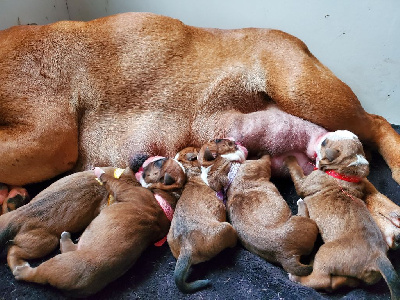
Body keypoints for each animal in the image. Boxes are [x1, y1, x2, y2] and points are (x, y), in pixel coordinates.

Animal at [12, 169, 178, 298]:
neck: (164, 207)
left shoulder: (124, 189)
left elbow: (110, 179)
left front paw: (100, 173)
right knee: (69, 247)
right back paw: (67, 237)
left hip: (57, 264)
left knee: (37, 273)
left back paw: (21, 271)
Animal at [203, 138, 318, 276]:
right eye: (219, 140)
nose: (235, 140)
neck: (230, 170)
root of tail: (287, 257)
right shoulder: (261, 163)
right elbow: (265, 157)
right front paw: (263, 151)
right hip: (305, 222)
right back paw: (301, 203)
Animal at [284, 131, 400, 300]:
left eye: (324, 142)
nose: (322, 134)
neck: (343, 172)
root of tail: (378, 257)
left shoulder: (304, 182)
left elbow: (296, 171)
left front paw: (289, 157)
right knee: (338, 282)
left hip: (325, 253)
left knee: (320, 279)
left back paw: (297, 278)